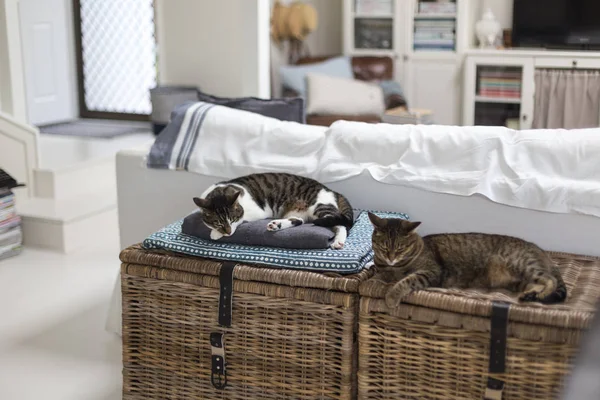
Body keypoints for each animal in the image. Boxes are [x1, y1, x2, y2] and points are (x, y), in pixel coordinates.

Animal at [192, 173, 354, 248]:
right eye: (217, 222)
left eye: (232, 220)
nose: (228, 232)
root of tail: (332, 190)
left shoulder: (259, 212)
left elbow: (243, 218)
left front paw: (215, 234)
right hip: (297, 212)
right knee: (299, 220)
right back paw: (276, 225)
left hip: (320, 207)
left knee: (341, 225)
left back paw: (338, 241)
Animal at [366, 214, 568, 308]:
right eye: (383, 247)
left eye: (400, 248)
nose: (391, 257)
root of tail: (542, 251)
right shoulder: (383, 267)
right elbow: (378, 273)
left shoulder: (430, 272)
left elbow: (405, 281)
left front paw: (391, 297)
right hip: (521, 280)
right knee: (538, 283)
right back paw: (530, 295)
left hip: (524, 264)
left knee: (550, 279)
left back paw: (541, 295)